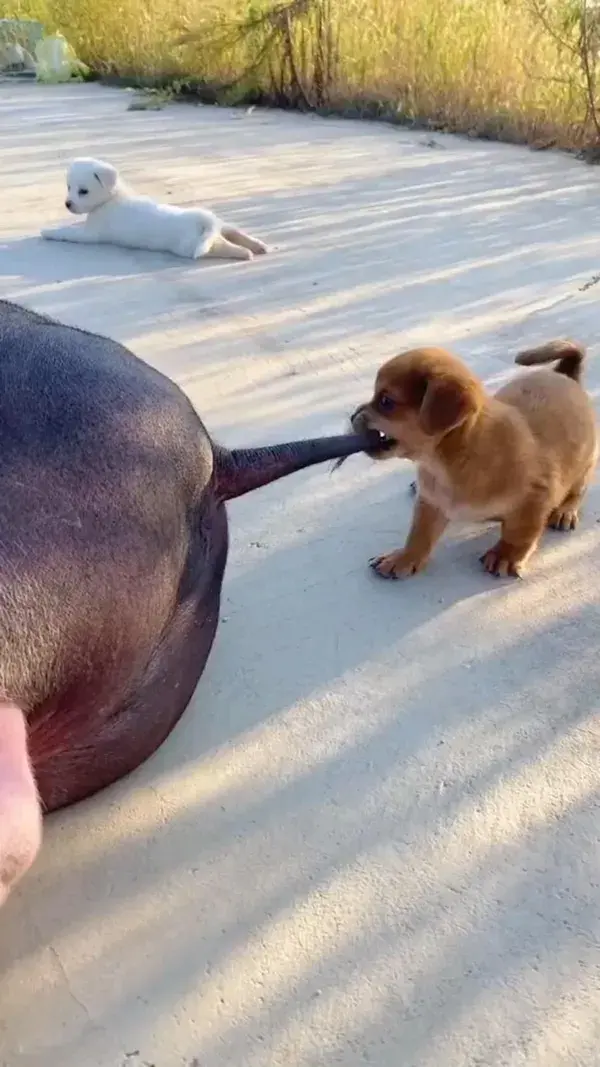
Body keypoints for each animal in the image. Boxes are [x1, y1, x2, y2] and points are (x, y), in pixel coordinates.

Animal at [40, 160, 264, 264]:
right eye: (69, 187)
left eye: (83, 191)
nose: (68, 204)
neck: (113, 197)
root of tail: (204, 222)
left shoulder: (89, 234)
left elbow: (68, 232)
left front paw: (48, 232)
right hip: (219, 224)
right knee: (233, 232)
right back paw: (257, 246)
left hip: (191, 246)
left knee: (222, 247)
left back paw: (244, 252)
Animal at [350, 341, 593, 580]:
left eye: (386, 401)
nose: (352, 416)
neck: (445, 463)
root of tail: (566, 375)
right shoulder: (431, 502)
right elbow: (420, 533)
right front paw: (404, 558)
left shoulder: (536, 498)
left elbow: (519, 534)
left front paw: (505, 556)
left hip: (586, 465)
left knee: (577, 492)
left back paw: (565, 511)